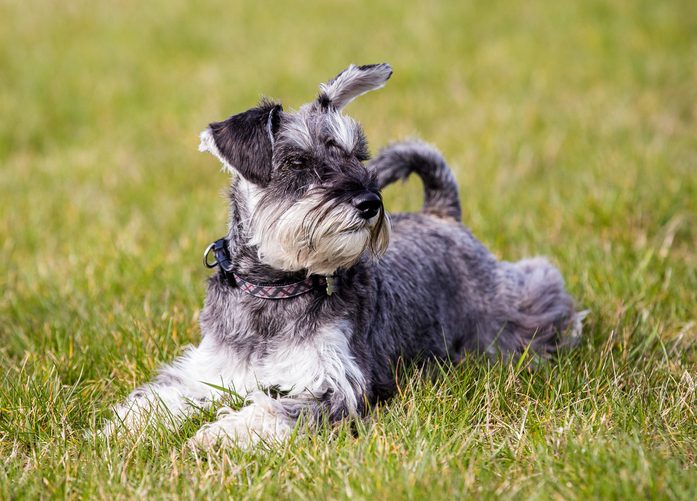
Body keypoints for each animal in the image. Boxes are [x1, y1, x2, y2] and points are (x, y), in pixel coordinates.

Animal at [102, 63, 580, 450]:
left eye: (356, 155)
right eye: (296, 162)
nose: (370, 202)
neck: (276, 288)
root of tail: (441, 214)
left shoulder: (333, 384)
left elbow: (270, 411)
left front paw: (217, 436)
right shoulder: (208, 367)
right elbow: (165, 394)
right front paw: (123, 427)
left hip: (506, 315)